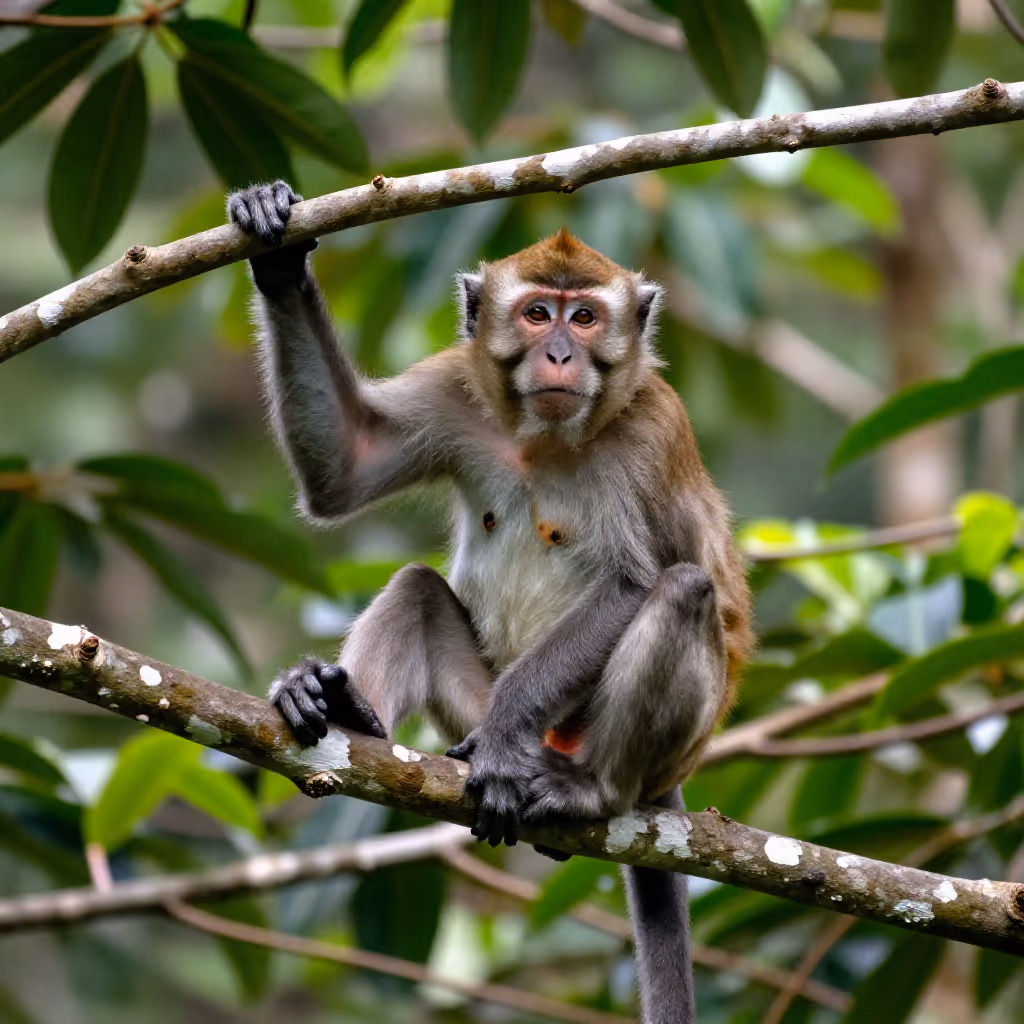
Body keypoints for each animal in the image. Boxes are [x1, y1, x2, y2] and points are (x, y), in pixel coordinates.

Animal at [227, 180, 753, 1024]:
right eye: (538, 313)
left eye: (585, 318)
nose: (560, 354)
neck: (549, 437)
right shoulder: (454, 384)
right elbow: (347, 465)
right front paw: (274, 251)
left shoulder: (650, 430)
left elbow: (634, 584)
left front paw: (508, 736)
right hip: (464, 711)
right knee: (416, 588)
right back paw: (348, 711)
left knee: (682, 590)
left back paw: (590, 790)